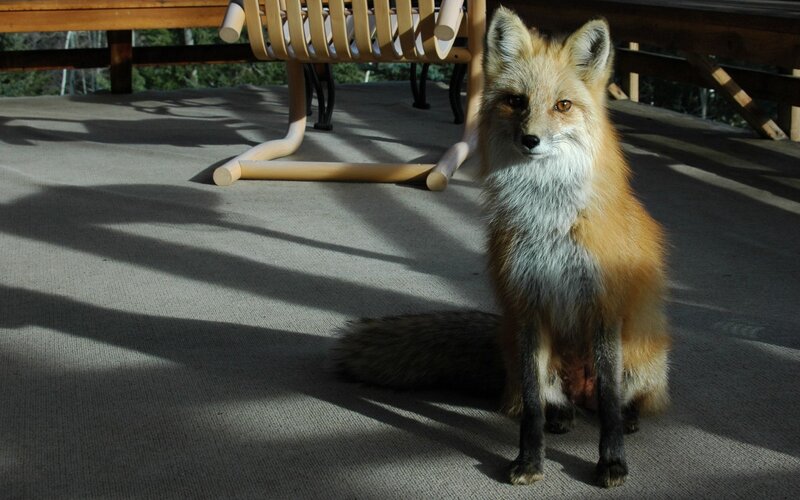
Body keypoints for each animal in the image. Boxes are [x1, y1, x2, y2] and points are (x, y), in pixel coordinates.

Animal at [331, 8, 670, 489]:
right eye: (515, 101)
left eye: (563, 105)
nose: (530, 140)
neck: (548, 220)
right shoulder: (528, 306)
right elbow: (530, 407)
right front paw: (529, 460)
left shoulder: (603, 307)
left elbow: (608, 405)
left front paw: (611, 462)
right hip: (523, 347)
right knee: (547, 400)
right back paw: (561, 417)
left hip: (642, 354)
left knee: (620, 400)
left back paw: (629, 417)